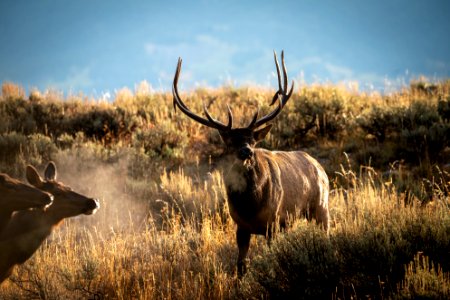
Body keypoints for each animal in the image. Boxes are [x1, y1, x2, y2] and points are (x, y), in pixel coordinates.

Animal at [172, 51, 330, 274]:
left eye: (253, 140)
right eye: (231, 142)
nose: (247, 151)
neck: (250, 206)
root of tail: (320, 167)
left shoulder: (273, 221)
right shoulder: (241, 226)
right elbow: (240, 266)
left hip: (321, 206)